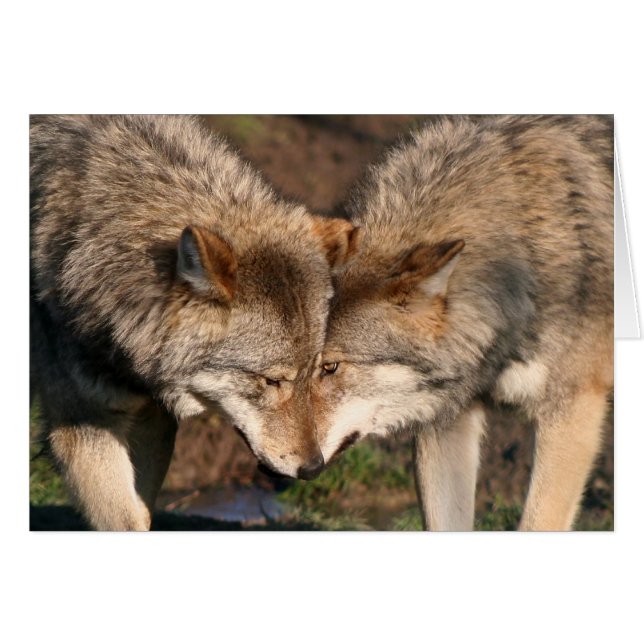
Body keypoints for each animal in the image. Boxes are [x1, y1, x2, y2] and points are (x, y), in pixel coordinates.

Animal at [30, 115, 361, 530]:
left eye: (319, 373)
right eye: (271, 381)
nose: (314, 467)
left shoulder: (152, 418)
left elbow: (143, 512)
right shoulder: (84, 425)